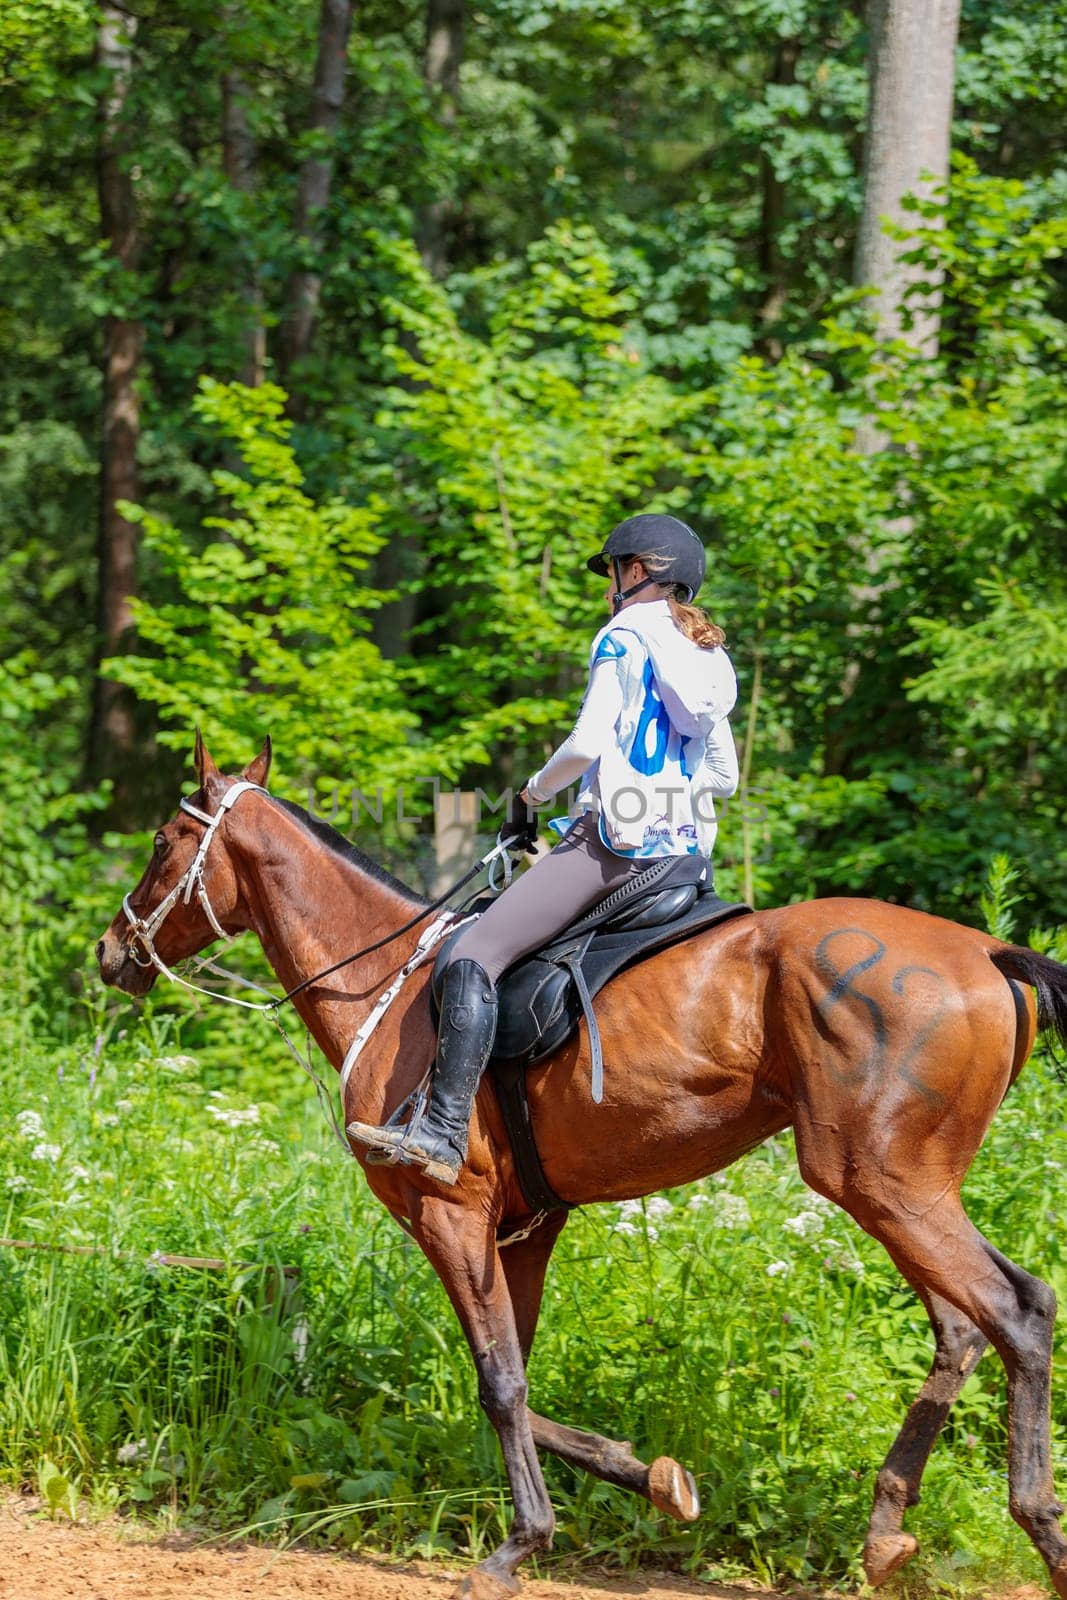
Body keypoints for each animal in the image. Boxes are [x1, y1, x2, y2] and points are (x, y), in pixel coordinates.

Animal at [95, 739, 1067, 1600]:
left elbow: (498, 1382)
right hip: (898, 1188)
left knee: (1016, 1312)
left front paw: (516, 1548)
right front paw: (651, 1477)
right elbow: (515, 1381)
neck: (386, 983)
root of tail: (983, 952)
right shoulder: (524, 1230)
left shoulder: (450, 1215)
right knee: (966, 1326)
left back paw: (1038, 1526)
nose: (111, 952)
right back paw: (886, 1530)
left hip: (879, 1182)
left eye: (162, 842)